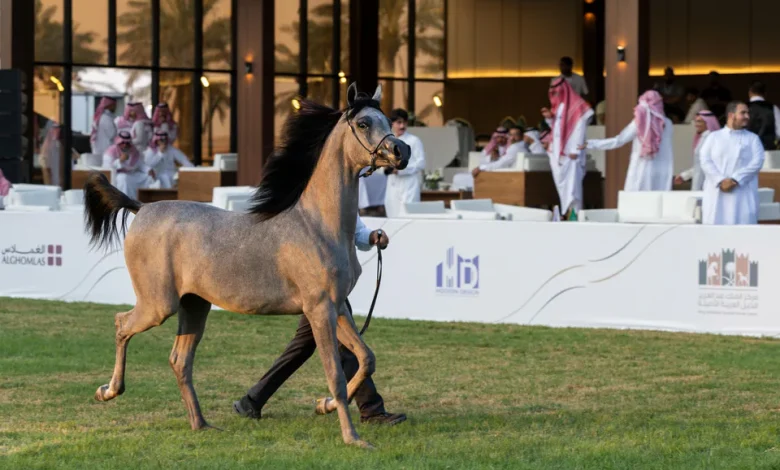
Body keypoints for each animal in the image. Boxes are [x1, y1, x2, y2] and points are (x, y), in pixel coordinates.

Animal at [82, 83, 410, 449]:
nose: (402, 151)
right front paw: (353, 438)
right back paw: (109, 391)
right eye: (365, 124)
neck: (318, 225)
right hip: (159, 305)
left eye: (387, 120)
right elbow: (336, 375)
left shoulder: (337, 307)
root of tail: (141, 208)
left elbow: (366, 358)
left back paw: (201, 425)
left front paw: (323, 405)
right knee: (121, 324)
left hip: (194, 306)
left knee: (180, 361)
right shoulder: (319, 309)